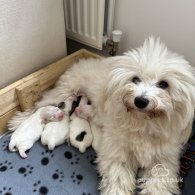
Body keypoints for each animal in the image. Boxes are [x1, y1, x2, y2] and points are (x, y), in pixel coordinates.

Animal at [7, 37, 195, 194]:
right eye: (135, 79)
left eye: (163, 84)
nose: (140, 100)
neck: (143, 123)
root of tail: (81, 60)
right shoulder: (117, 154)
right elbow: (118, 181)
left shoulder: (164, 162)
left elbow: (159, 184)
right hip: (62, 92)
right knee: (39, 105)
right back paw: (18, 121)